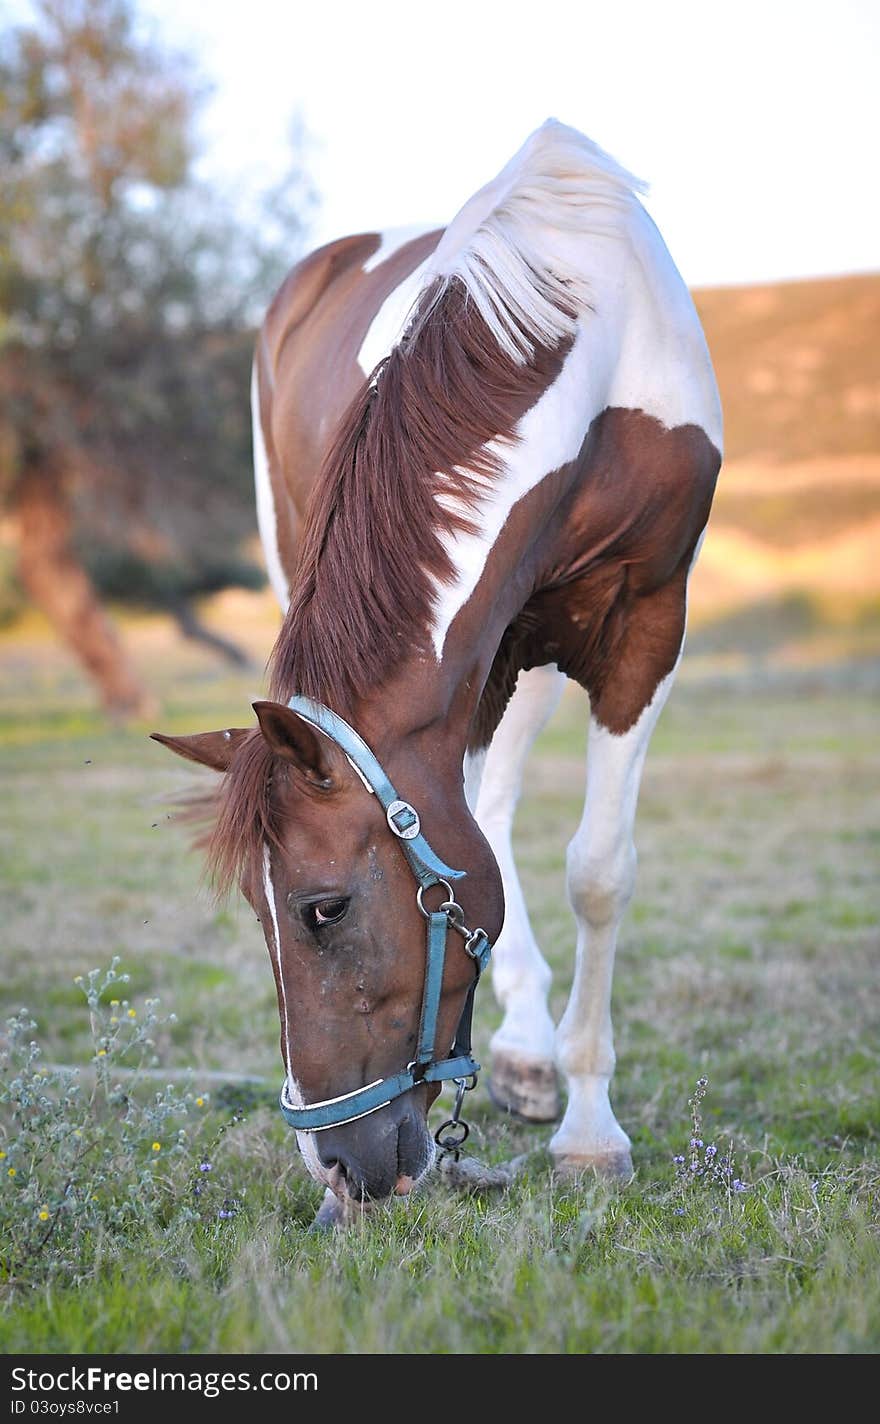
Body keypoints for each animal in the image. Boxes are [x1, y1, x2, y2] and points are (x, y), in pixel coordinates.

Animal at [150, 119, 720, 1224]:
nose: (335, 1166)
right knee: (486, 809)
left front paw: (591, 1131)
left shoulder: (643, 622)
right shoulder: (481, 652)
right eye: (257, 914)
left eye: (322, 909)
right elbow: (488, 840)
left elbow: (598, 870)